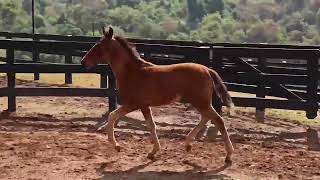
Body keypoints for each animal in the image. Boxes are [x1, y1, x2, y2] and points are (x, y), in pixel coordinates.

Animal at [80, 26, 235, 163]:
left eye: (99, 46)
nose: (83, 62)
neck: (132, 72)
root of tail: (208, 70)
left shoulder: (134, 103)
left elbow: (112, 116)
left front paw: (117, 146)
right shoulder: (144, 106)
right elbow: (151, 125)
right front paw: (153, 152)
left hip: (201, 102)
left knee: (218, 120)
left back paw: (228, 156)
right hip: (200, 102)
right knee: (206, 118)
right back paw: (188, 144)